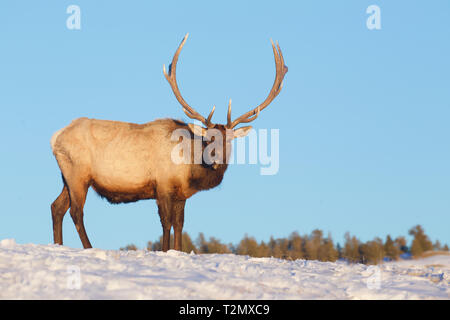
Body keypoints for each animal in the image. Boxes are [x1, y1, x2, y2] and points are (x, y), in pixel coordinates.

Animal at [50, 34, 288, 250]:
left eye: (228, 140)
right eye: (208, 138)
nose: (215, 160)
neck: (189, 170)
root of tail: (55, 138)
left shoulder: (181, 195)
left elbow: (179, 224)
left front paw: (177, 250)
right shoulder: (162, 185)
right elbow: (166, 223)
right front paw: (165, 250)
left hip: (67, 176)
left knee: (57, 207)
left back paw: (58, 245)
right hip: (79, 174)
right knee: (76, 212)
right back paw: (88, 247)